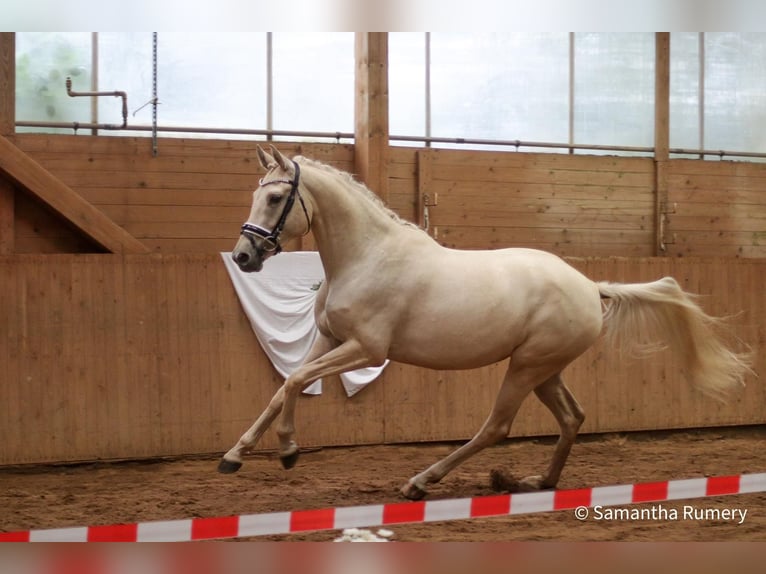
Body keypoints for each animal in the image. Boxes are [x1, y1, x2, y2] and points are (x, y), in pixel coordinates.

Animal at [218, 144, 751, 500]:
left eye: (275, 198)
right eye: (256, 194)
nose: (244, 256)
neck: (367, 256)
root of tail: (588, 285)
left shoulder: (366, 349)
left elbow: (297, 382)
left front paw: (288, 451)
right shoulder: (330, 338)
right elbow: (285, 386)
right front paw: (234, 457)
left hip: (526, 366)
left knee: (496, 426)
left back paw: (420, 482)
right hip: (545, 370)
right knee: (572, 417)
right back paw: (539, 481)